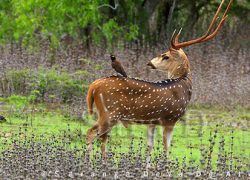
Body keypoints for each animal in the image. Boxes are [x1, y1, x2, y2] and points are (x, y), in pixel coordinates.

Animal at [85, 0, 232, 158]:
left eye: (165, 56)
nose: (149, 63)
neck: (183, 87)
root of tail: (93, 86)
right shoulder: (170, 119)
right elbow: (166, 148)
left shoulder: (152, 122)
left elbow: (150, 147)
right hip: (109, 113)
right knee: (93, 133)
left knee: (96, 134)